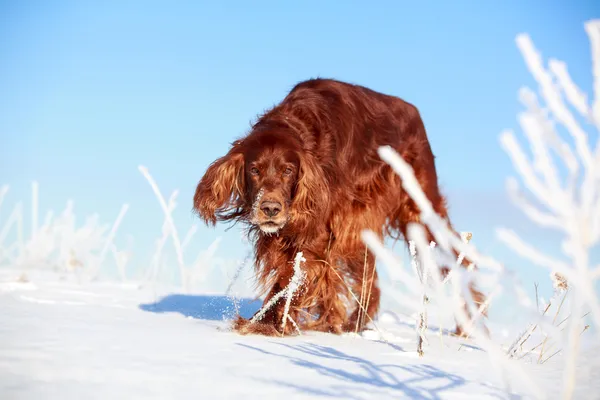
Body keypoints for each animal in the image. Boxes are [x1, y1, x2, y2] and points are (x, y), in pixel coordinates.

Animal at [195, 76, 486, 336]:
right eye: (254, 170)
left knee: (459, 258)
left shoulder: (317, 230)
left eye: (288, 170)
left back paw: (467, 325)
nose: (270, 208)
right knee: (370, 278)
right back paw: (351, 325)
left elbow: (291, 278)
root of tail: (415, 113)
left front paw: (263, 323)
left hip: (419, 211)